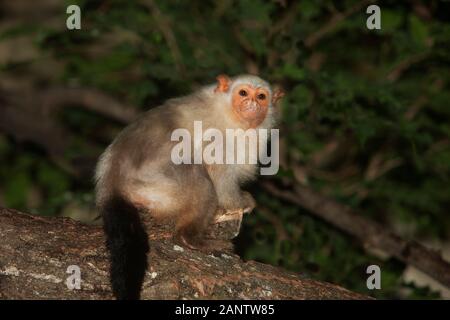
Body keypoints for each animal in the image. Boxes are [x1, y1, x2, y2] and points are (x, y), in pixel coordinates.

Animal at [95, 74, 284, 298]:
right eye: (243, 93)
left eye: (261, 97)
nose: (252, 104)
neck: (232, 115)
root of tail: (112, 179)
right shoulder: (218, 137)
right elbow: (220, 177)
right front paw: (240, 202)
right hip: (156, 184)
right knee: (200, 179)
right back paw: (190, 239)